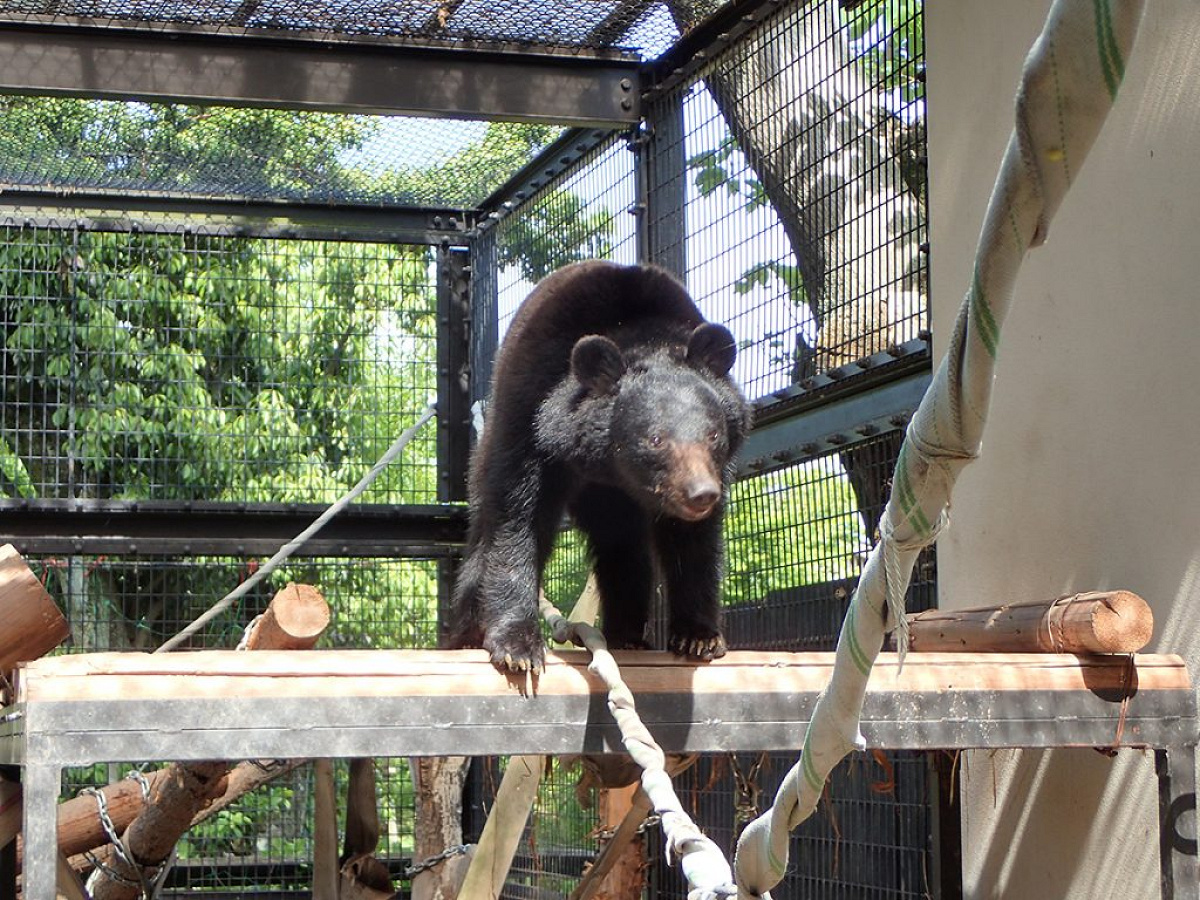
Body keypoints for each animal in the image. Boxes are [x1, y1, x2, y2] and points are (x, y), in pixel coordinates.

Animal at [451, 256, 748, 672]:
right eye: (655, 439)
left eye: (713, 435)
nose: (701, 494)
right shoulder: (530, 412)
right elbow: (517, 518)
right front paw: (518, 648)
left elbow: (693, 542)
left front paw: (698, 637)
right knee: (484, 537)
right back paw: (466, 636)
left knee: (623, 549)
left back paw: (627, 636)